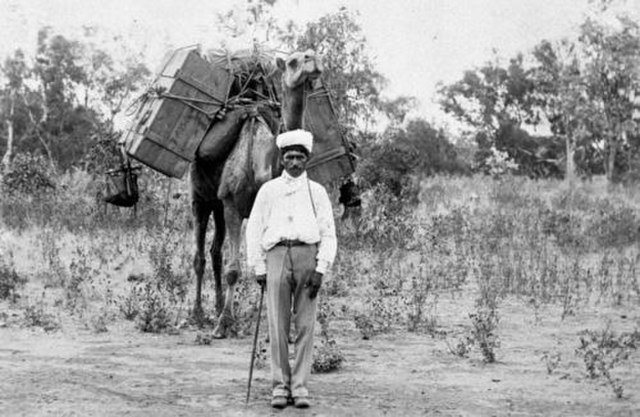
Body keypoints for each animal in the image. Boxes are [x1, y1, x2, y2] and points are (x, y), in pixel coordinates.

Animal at [189, 48, 322, 336]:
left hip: (219, 205)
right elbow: (233, 269)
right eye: (292, 61)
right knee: (200, 256)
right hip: (201, 199)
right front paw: (224, 325)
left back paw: (217, 306)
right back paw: (197, 314)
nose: (312, 59)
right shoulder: (232, 204)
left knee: (215, 252)